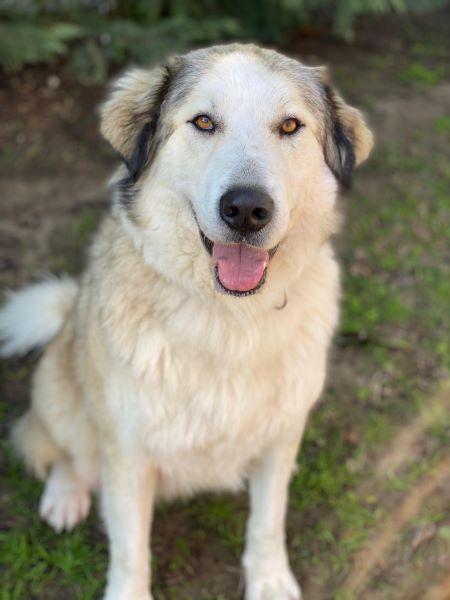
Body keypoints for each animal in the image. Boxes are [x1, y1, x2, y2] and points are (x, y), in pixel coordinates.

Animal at [0, 44, 373, 599]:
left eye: (289, 126)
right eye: (203, 122)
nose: (247, 209)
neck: (229, 316)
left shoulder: (280, 436)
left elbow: (268, 520)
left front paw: (268, 579)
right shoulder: (128, 454)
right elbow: (131, 550)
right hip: (64, 397)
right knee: (55, 446)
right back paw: (65, 495)